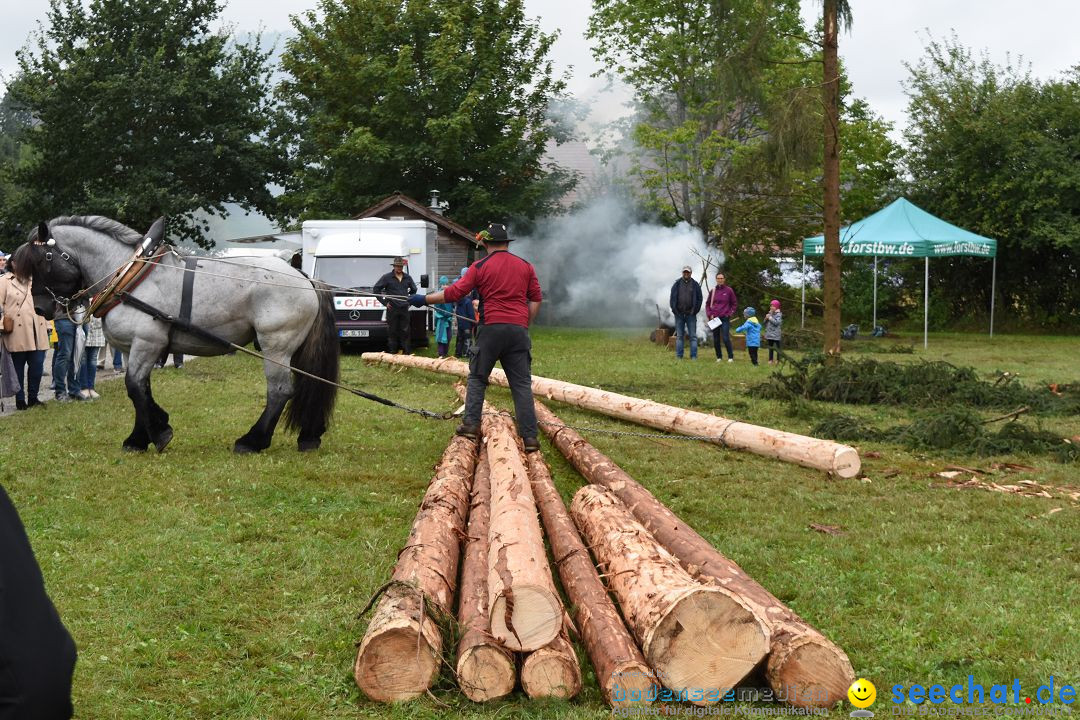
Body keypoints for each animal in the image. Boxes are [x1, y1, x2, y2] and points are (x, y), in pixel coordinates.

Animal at [23, 215, 339, 451]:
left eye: (44, 258)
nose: (40, 308)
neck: (130, 276)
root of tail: (305, 279)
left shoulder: (146, 342)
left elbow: (134, 387)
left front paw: (157, 434)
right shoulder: (138, 348)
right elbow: (141, 389)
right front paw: (141, 436)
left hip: (276, 346)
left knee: (279, 391)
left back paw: (252, 441)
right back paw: (309, 435)